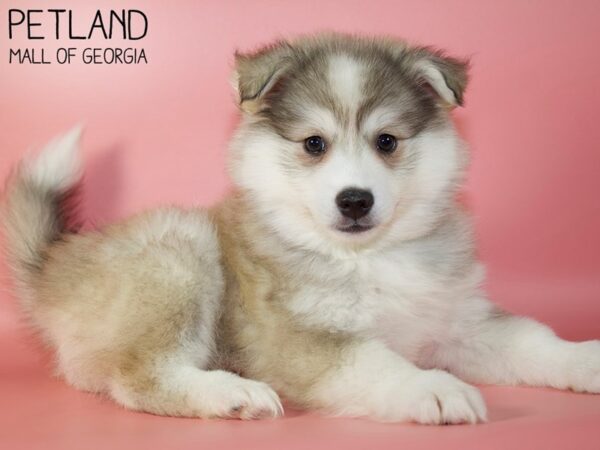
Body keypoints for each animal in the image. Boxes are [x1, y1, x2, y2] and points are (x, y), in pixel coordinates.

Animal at [1, 33, 600, 424]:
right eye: (315, 143)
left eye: (387, 141)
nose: (354, 200)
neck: (367, 257)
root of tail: (56, 261)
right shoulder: (298, 339)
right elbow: (375, 359)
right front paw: (432, 386)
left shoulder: (459, 321)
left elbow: (533, 338)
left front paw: (586, 359)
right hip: (180, 254)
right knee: (138, 378)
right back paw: (231, 394)